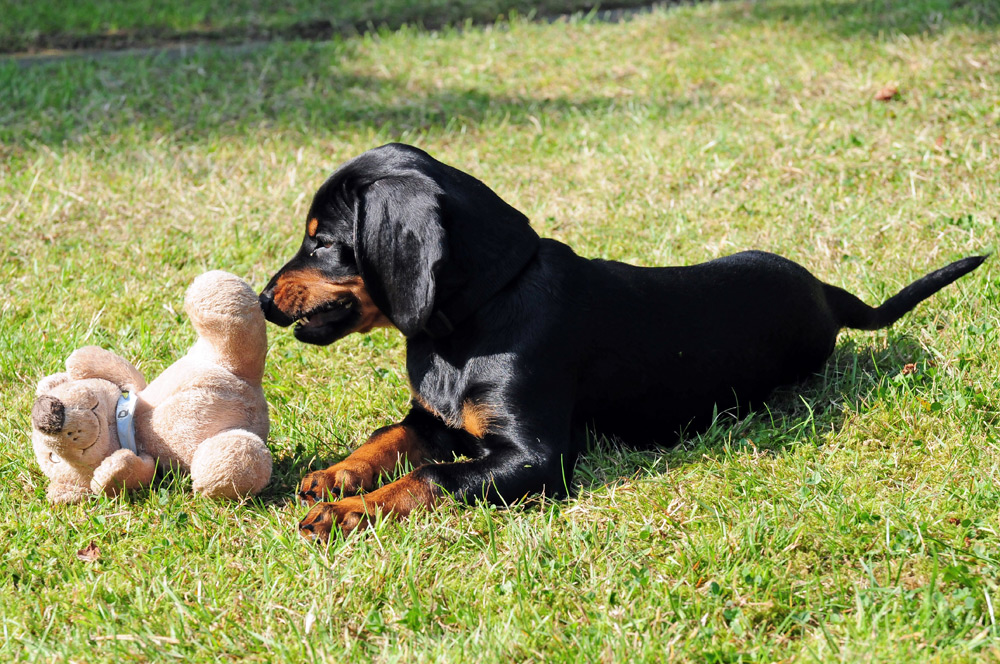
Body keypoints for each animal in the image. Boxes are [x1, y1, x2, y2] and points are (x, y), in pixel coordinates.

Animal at [260, 143, 984, 536]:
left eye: (322, 241)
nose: (264, 301)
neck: (481, 317)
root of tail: (826, 293)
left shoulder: (536, 459)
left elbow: (434, 474)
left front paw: (350, 511)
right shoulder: (434, 418)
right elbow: (390, 436)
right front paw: (337, 476)